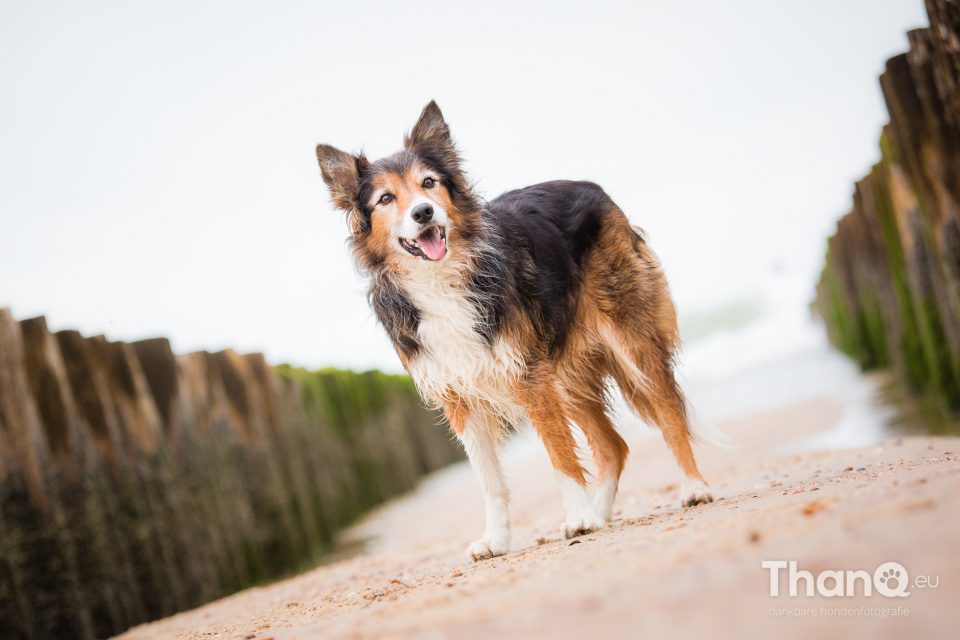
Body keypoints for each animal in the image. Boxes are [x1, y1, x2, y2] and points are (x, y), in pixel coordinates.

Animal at [316, 100, 712, 560]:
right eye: (385, 198)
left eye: (428, 183)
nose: (423, 212)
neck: (441, 279)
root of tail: (590, 186)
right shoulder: (459, 396)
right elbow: (489, 481)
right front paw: (497, 539)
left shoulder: (528, 375)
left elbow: (560, 455)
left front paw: (577, 515)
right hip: (563, 369)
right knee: (613, 446)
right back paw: (600, 512)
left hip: (628, 337)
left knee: (669, 411)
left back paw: (691, 488)